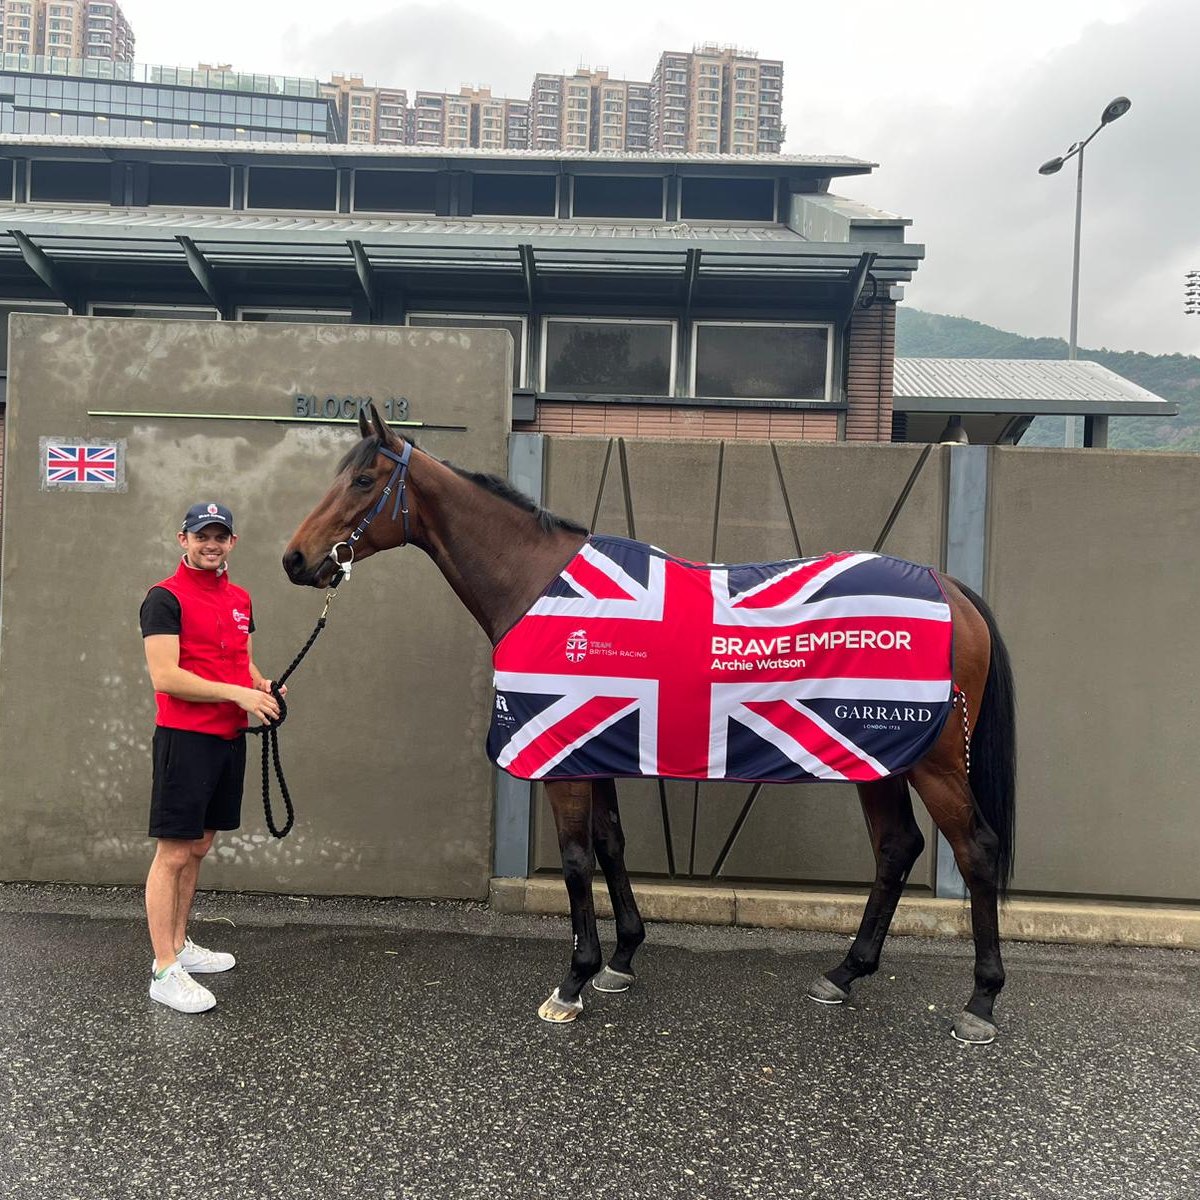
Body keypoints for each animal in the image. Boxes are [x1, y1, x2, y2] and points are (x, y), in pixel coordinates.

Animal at [280, 403, 1012, 1041]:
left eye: (363, 479)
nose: (295, 559)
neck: (537, 584)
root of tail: (950, 589)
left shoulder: (562, 751)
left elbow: (577, 858)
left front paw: (572, 983)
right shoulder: (594, 744)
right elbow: (610, 843)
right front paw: (621, 958)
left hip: (932, 762)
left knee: (974, 849)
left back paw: (980, 1001)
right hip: (880, 758)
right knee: (896, 848)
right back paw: (844, 973)